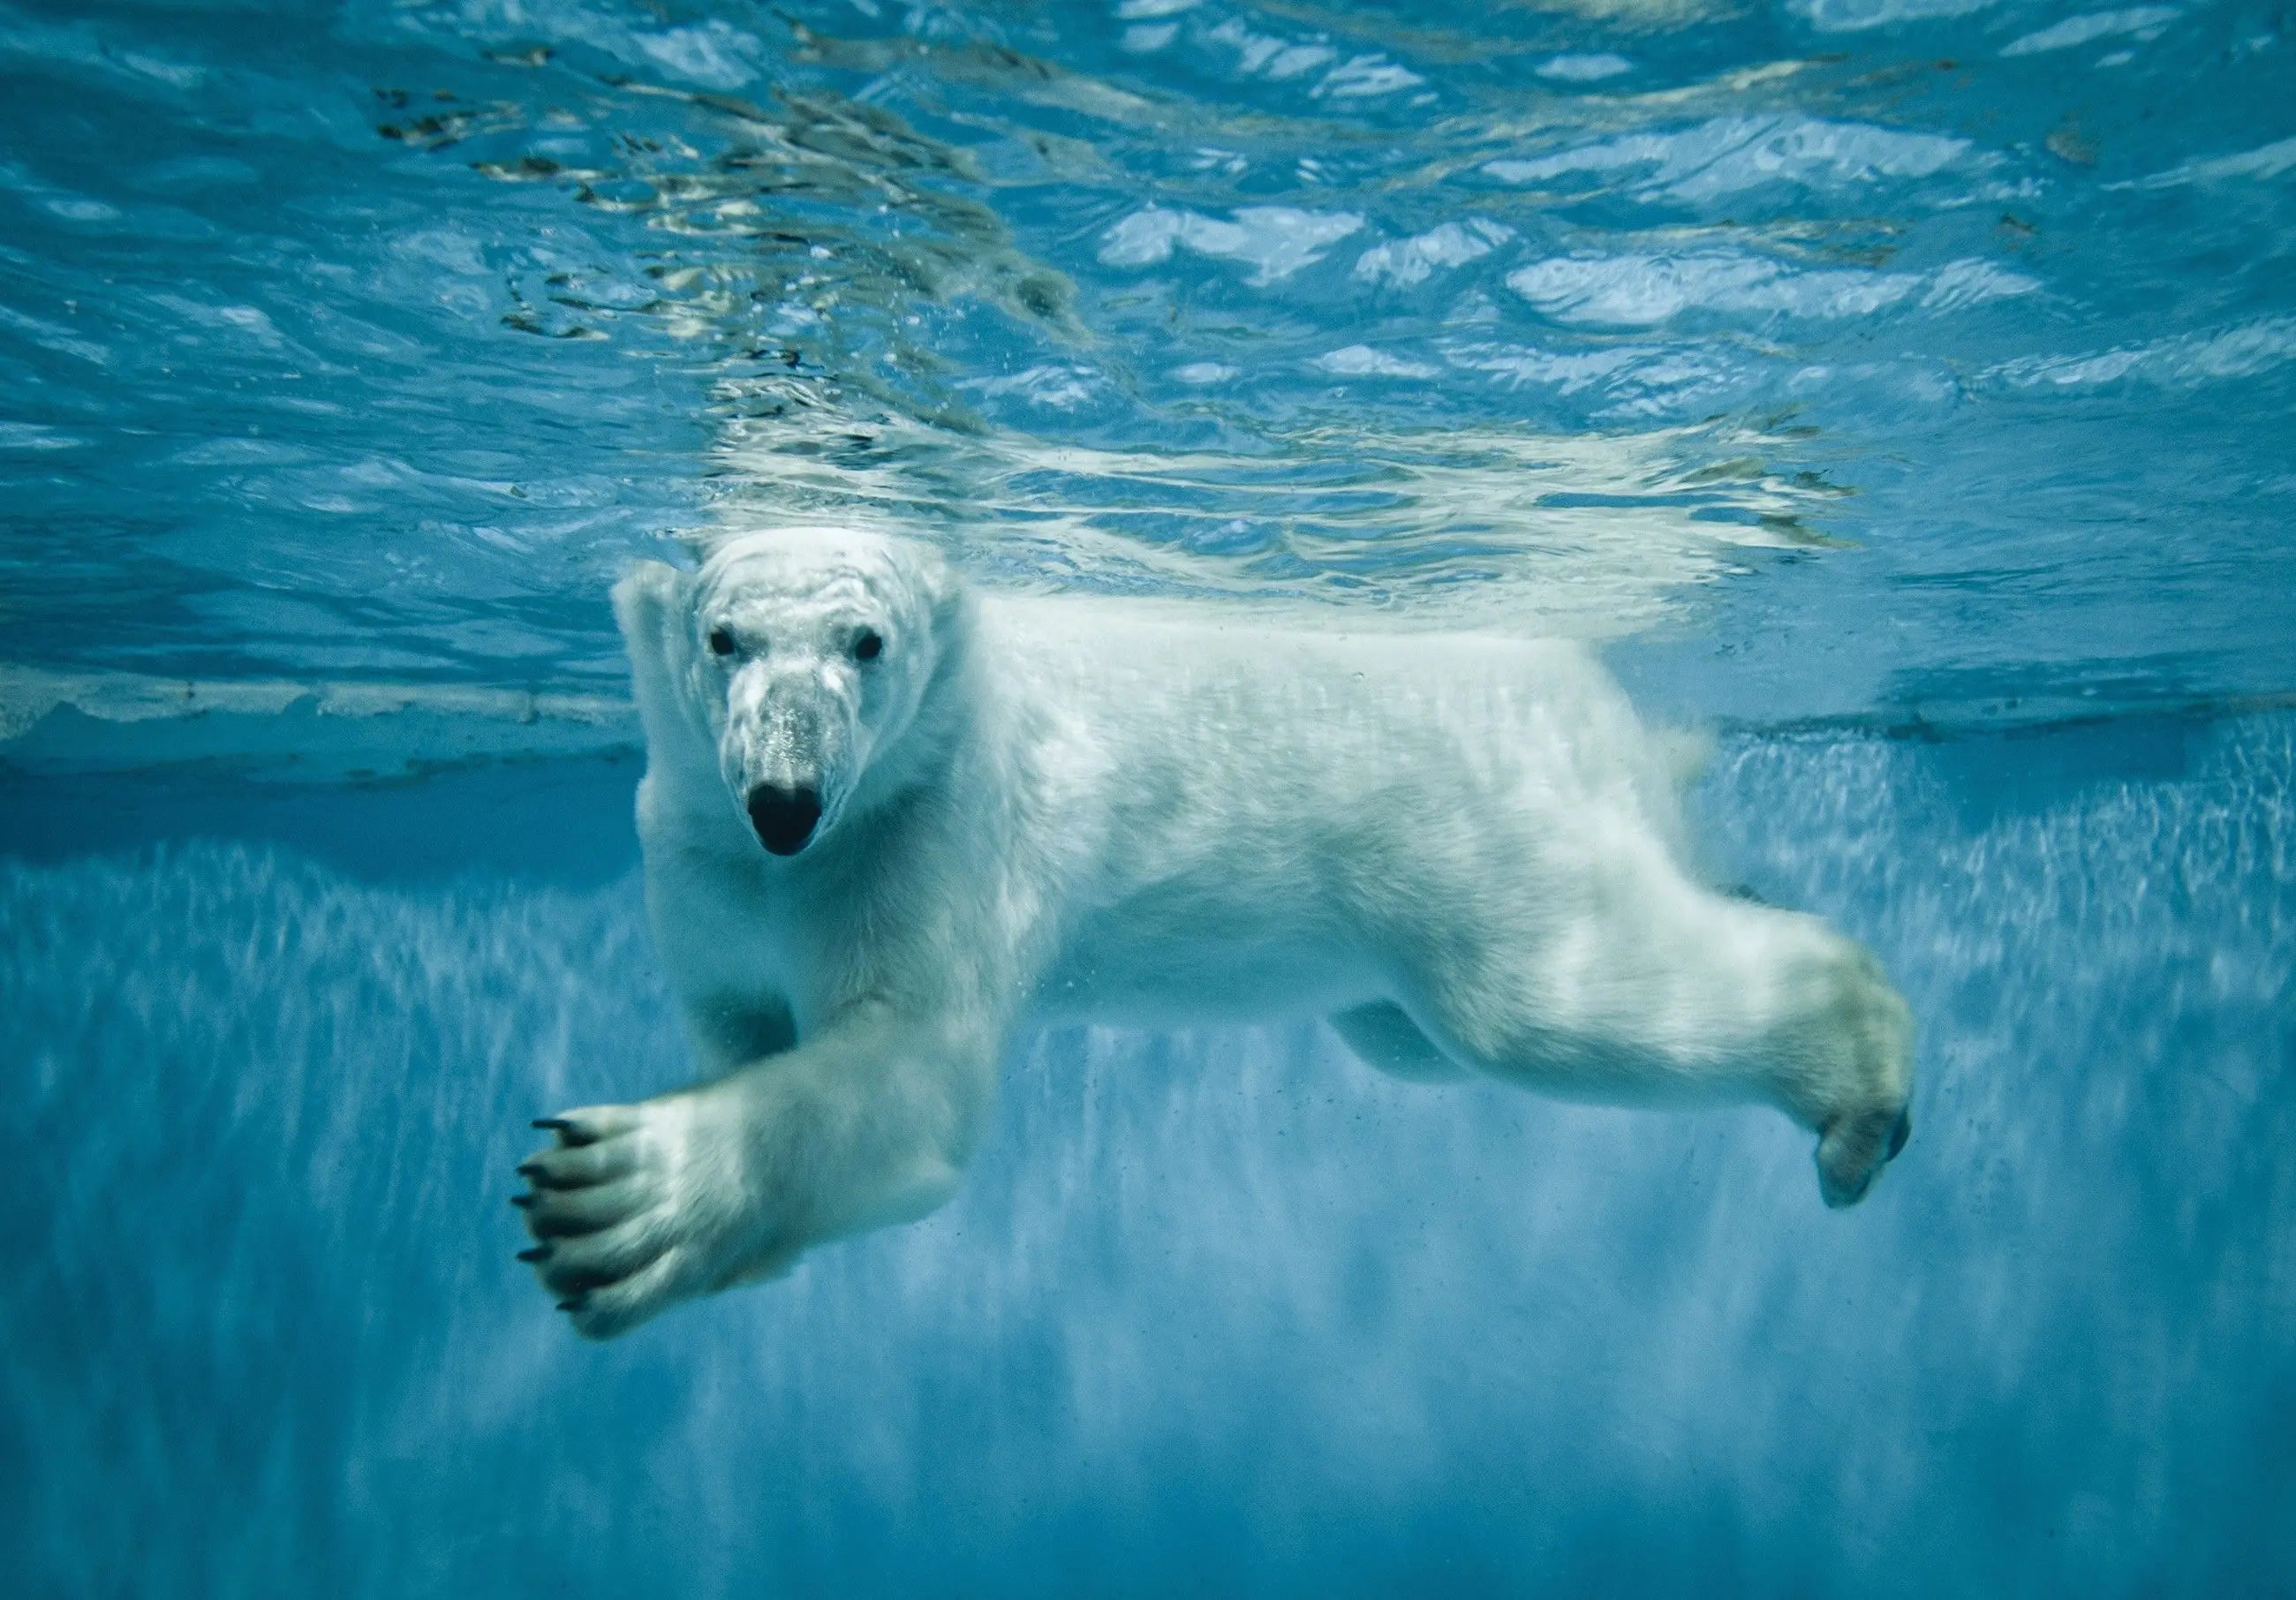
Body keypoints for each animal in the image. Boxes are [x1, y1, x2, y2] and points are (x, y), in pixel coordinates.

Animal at [511, 523, 1910, 1331]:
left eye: (866, 641)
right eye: (721, 636)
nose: (787, 800)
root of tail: (1595, 700)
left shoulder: (928, 828)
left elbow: (908, 1072)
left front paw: (617, 1195)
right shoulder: (694, 860)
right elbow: (740, 1020)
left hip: (1468, 828)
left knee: (1543, 1007)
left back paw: (1859, 1083)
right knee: (1416, 1037)